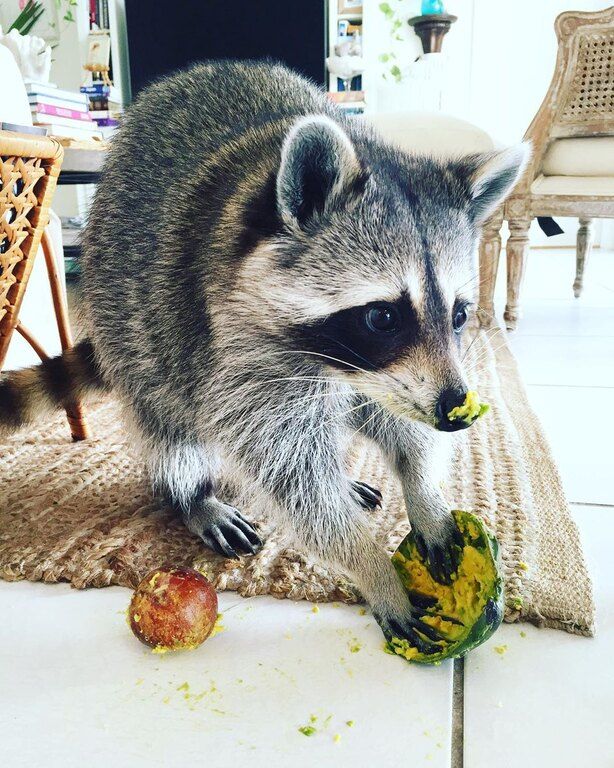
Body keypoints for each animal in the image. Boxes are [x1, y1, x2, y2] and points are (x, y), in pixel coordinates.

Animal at [0, 61, 528, 652]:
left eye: (460, 314)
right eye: (381, 318)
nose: (455, 410)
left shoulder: (385, 377)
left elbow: (398, 421)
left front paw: (423, 493)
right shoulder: (234, 348)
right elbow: (285, 467)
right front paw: (368, 563)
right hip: (135, 324)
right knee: (169, 420)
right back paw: (191, 494)